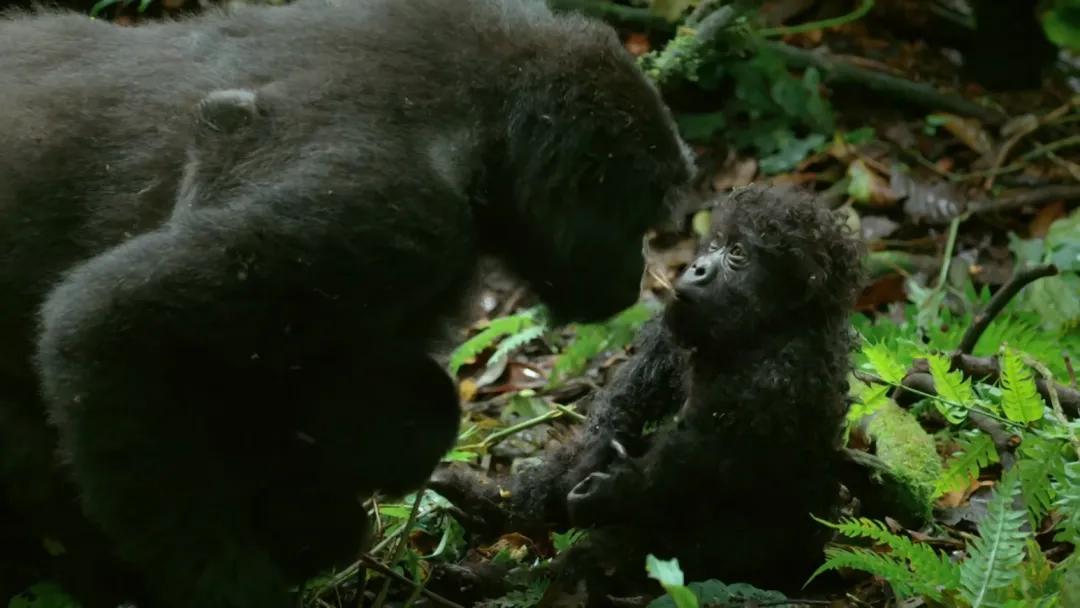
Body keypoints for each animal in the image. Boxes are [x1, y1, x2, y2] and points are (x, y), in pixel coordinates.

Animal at [429, 186, 859, 604]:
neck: (767, 328)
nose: (697, 268)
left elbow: (689, 468)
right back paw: (484, 503)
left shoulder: (780, 373)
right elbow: (631, 397)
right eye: (714, 243)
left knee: (619, 548)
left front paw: (608, 491)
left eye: (738, 253)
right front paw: (587, 463)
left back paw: (494, 580)